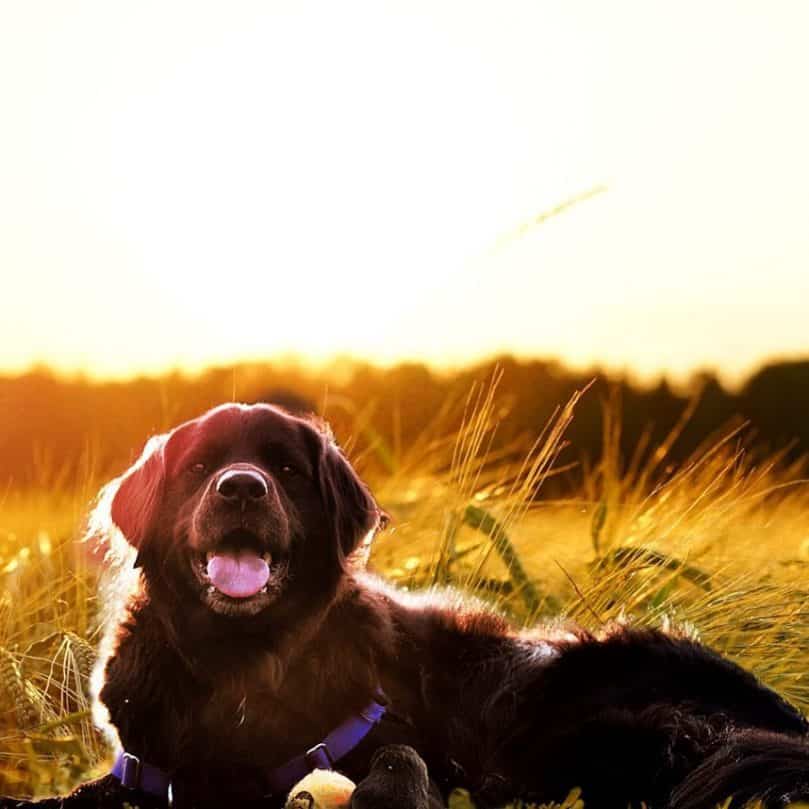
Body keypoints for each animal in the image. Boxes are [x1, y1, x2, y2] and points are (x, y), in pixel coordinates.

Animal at [3, 404, 804, 808]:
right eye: (201, 466)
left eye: (285, 469)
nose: (241, 487)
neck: (244, 664)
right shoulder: (148, 769)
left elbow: (397, 755)